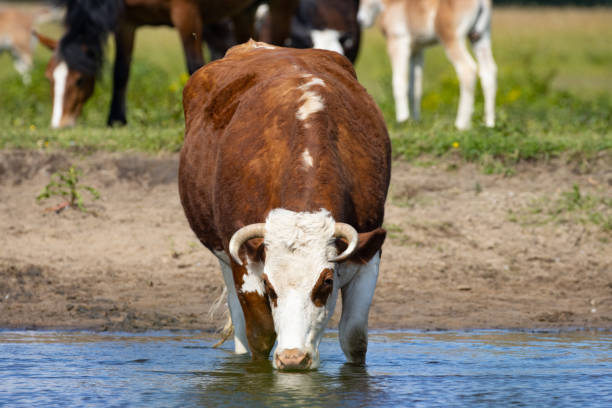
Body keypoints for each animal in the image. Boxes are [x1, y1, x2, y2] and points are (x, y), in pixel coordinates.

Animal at [180, 40, 392, 370]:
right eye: (269, 286)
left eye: (326, 282)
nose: (293, 358)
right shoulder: (245, 264)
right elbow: (260, 336)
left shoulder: (367, 256)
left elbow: (355, 338)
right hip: (224, 259)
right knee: (240, 325)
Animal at [358, 0, 498, 129]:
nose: (360, 20)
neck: (391, 4)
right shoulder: (417, 51)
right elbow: (415, 87)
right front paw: (415, 121)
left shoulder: (398, 43)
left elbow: (399, 83)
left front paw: (402, 120)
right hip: (480, 38)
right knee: (488, 71)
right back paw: (489, 123)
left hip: (451, 38)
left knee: (468, 70)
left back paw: (461, 124)